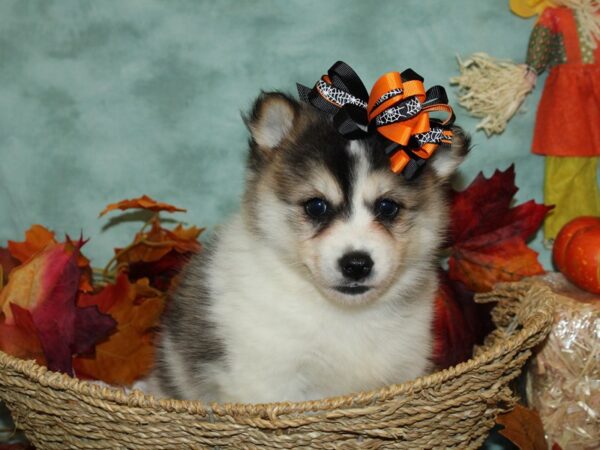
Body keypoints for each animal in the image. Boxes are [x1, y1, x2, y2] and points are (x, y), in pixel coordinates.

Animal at [146, 92, 468, 404]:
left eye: (388, 207)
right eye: (316, 206)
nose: (356, 264)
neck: (345, 314)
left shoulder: (405, 366)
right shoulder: (265, 377)